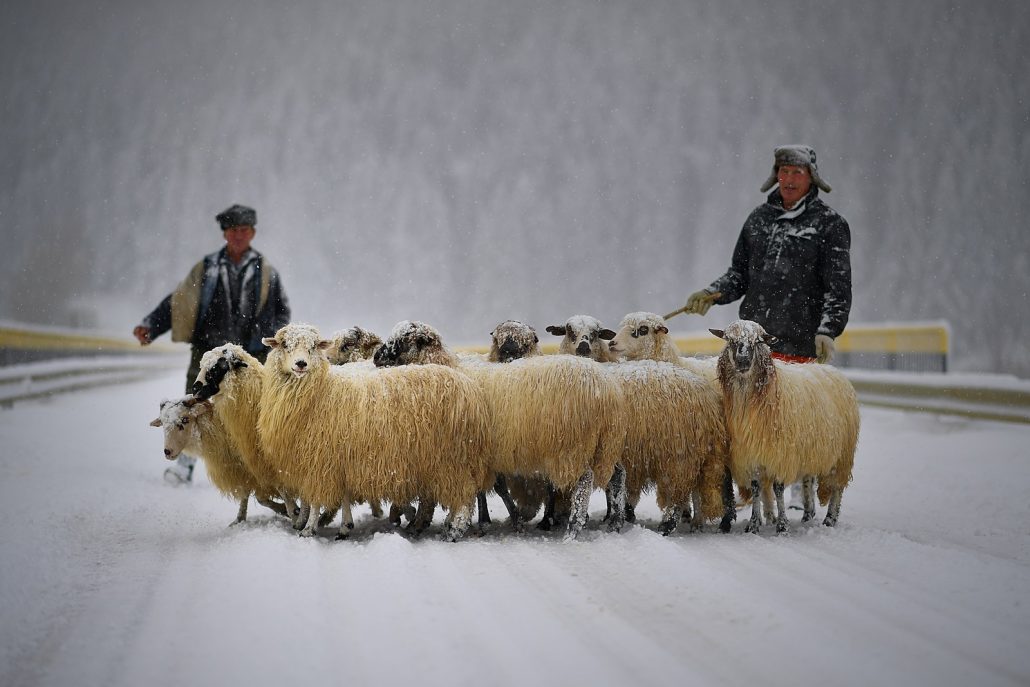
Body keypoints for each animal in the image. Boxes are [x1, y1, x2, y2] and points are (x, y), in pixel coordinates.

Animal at [261, 323, 494, 543]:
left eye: (313, 347)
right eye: (284, 344)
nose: (301, 364)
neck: (323, 390)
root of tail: (470, 388)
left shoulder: (320, 460)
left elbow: (315, 498)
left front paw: (309, 528)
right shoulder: (336, 458)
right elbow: (336, 495)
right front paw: (341, 525)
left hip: (452, 458)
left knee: (464, 498)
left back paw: (452, 530)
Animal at [708, 319, 861, 535]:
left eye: (757, 341)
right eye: (730, 340)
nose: (743, 362)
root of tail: (833, 371)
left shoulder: (781, 454)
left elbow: (778, 489)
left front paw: (782, 525)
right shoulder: (751, 453)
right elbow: (756, 488)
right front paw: (754, 524)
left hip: (842, 454)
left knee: (837, 487)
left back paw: (830, 519)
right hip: (811, 449)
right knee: (808, 480)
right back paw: (808, 514)